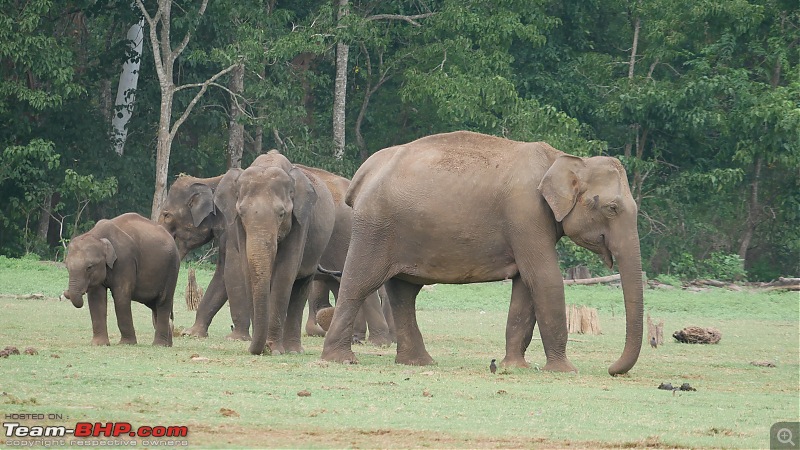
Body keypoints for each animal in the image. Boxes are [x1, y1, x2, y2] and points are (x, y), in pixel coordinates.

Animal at [63, 213, 181, 346]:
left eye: (89, 267)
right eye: (67, 267)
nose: (66, 292)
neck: (98, 236)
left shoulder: (125, 260)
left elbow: (121, 296)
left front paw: (127, 343)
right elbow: (96, 298)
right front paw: (99, 344)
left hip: (172, 268)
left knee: (163, 301)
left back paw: (159, 345)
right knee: (154, 305)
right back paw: (167, 344)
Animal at [212, 151, 334, 356]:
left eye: (281, 214)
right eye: (241, 213)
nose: (262, 348)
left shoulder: (301, 222)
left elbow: (284, 275)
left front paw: (275, 350)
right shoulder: (238, 228)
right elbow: (248, 273)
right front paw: (264, 347)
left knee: (300, 287)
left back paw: (293, 350)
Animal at [318, 131, 644, 376]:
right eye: (612, 208)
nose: (612, 369)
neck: (561, 159)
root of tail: (363, 174)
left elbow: (525, 286)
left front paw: (515, 366)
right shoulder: (526, 214)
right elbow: (545, 278)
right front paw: (565, 370)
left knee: (404, 293)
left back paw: (418, 362)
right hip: (375, 226)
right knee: (360, 283)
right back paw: (341, 359)